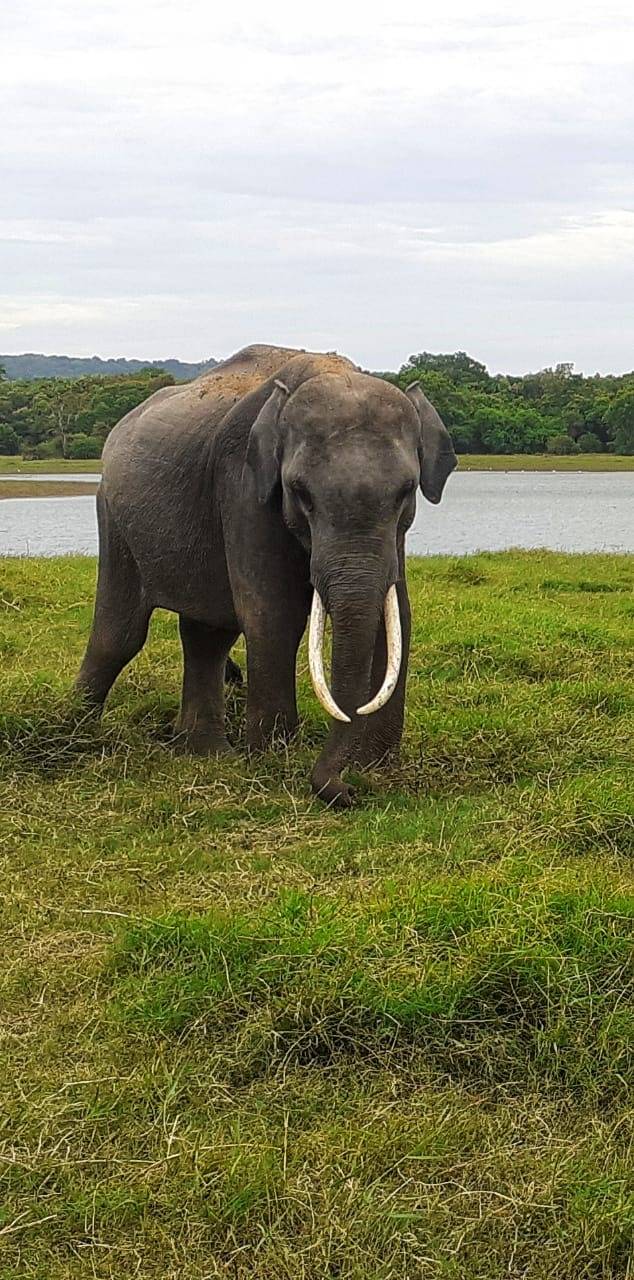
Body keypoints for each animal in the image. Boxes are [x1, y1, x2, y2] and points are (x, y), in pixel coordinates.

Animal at [76, 345, 455, 803]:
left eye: (405, 492)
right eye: (300, 492)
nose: (349, 791)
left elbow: (396, 615)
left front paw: (376, 766)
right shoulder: (243, 487)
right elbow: (273, 613)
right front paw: (273, 758)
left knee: (206, 635)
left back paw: (205, 752)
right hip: (111, 514)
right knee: (120, 635)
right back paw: (75, 734)